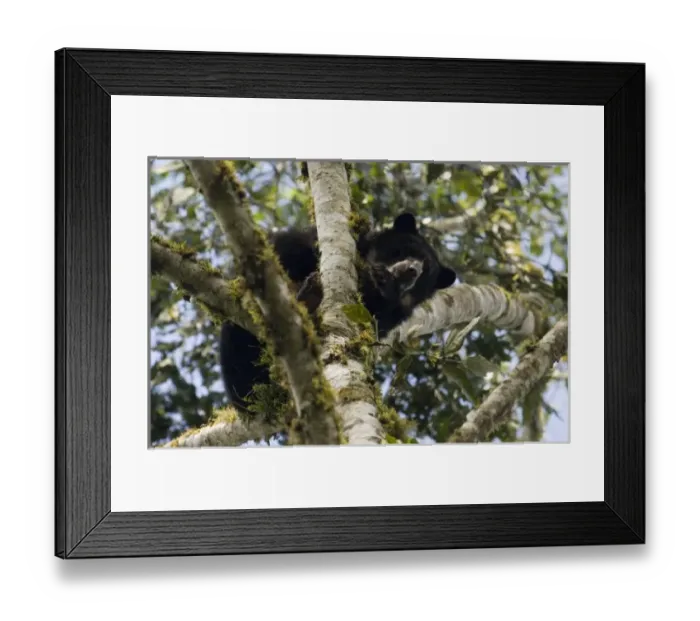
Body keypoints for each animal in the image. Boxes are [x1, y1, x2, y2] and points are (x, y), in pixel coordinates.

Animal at [218, 212, 457, 413]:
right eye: (404, 250)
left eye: (426, 274)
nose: (411, 271)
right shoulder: (309, 242)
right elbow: (286, 249)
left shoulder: (391, 315)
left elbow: (376, 321)